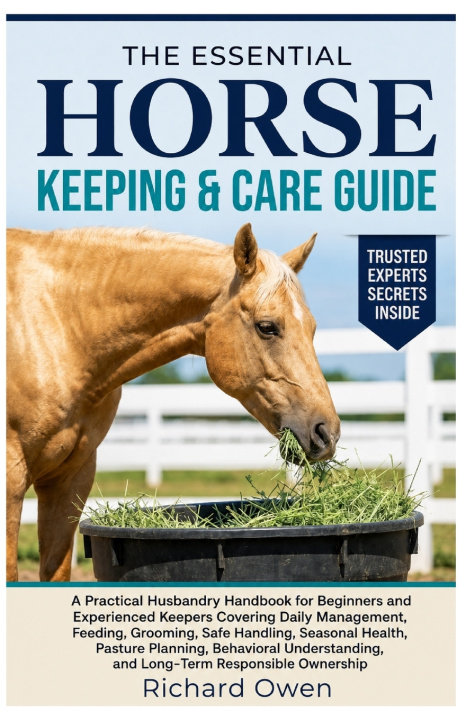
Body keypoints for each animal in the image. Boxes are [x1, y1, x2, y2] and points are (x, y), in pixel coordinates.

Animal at [6, 223, 340, 581]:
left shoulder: (70, 480)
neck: (60, 328)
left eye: (312, 328)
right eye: (267, 327)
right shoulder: (12, 483)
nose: (326, 433)